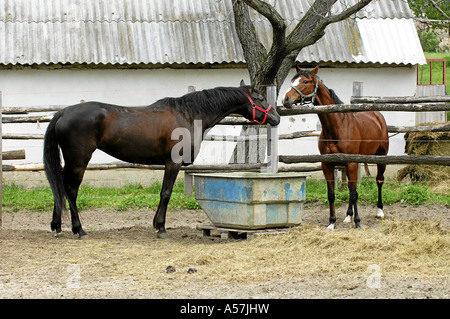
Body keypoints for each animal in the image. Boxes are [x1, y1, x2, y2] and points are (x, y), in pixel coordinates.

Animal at [44, 81, 280, 239]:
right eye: (260, 99)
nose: (276, 118)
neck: (189, 115)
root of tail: (63, 112)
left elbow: (162, 193)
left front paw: (156, 224)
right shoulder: (172, 163)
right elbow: (166, 193)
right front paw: (161, 227)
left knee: (58, 186)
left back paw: (57, 226)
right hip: (78, 161)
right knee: (70, 190)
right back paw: (79, 229)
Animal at [284, 65, 388, 230]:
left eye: (305, 81)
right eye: (292, 80)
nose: (286, 99)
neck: (337, 127)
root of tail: (378, 116)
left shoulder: (351, 162)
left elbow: (354, 193)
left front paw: (358, 222)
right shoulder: (327, 164)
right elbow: (332, 194)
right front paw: (332, 222)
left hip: (380, 158)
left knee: (379, 181)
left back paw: (379, 212)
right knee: (353, 186)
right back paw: (348, 216)